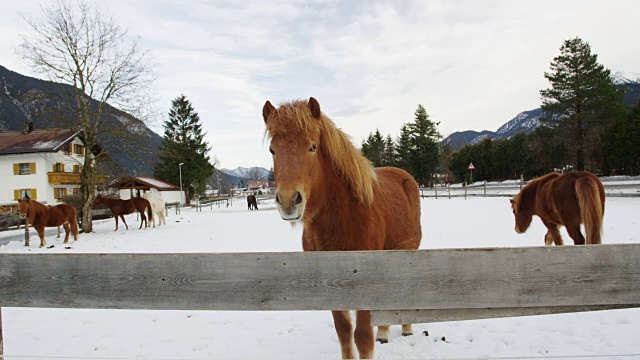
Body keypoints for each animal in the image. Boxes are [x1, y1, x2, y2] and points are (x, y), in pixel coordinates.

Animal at [262, 97, 422, 358]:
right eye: (272, 150)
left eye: (312, 147)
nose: (288, 201)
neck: (343, 218)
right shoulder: (331, 284)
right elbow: (344, 332)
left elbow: (363, 337)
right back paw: (384, 333)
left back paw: (406, 329)